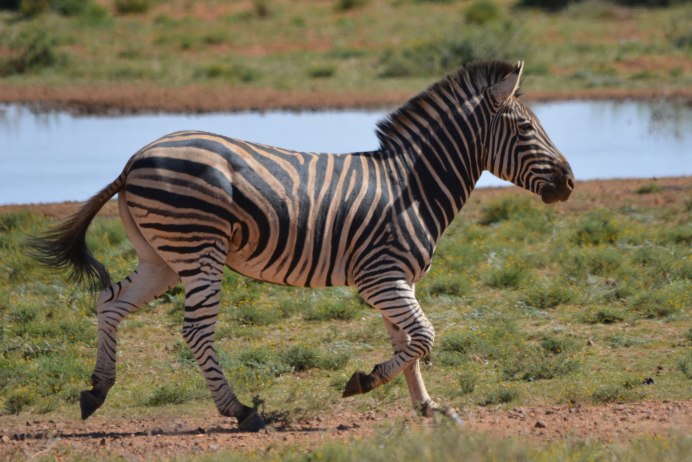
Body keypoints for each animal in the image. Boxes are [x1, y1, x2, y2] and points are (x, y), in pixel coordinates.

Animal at [30, 60, 574, 432]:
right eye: (526, 128)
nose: (569, 184)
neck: (413, 187)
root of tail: (136, 158)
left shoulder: (394, 279)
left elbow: (408, 343)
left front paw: (428, 407)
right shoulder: (380, 277)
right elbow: (422, 337)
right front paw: (364, 382)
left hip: (160, 257)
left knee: (110, 302)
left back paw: (97, 390)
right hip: (198, 249)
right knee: (196, 330)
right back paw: (241, 411)